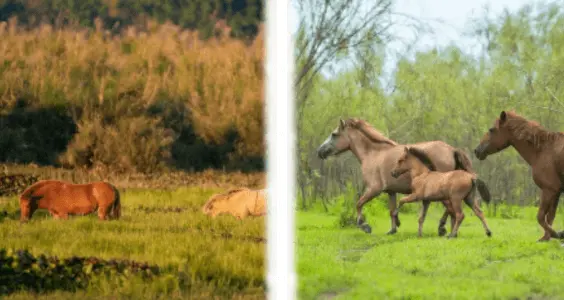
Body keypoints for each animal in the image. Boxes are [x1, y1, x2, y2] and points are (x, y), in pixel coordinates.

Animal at [316, 118, 478, 236]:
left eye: (334, 134)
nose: (320, 151)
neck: (374, 154)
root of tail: (452, 149)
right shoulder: (391, 191)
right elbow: (392, 210)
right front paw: (393, 228)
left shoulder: (374, 189)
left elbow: (359, 204)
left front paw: (365, 226)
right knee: (452, 210)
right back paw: (448, 230)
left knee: (452, 209)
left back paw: (444, 229)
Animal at [474, 110, 564, 241]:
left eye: (491, 129)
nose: (477, 150)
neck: (542, 150)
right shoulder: (556, 192)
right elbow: (550, 217)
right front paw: (548, 237)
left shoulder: (549, 190)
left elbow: (541, 217)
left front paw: (557, 234)